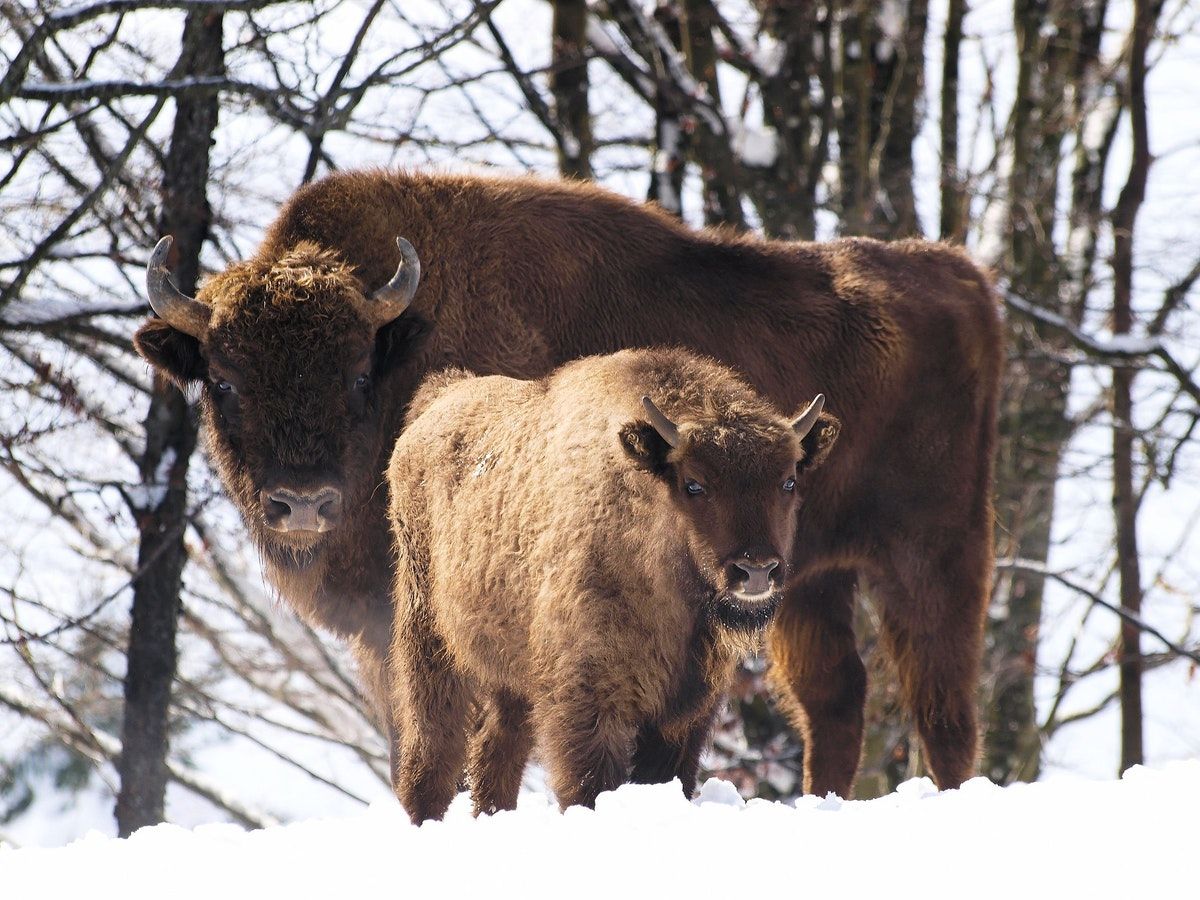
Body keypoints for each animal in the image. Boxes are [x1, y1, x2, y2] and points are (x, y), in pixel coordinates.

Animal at [135, 168, 1002, 799]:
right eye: (223, 381)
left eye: (355, 372)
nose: (302, 503)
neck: (406, 339)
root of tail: (961, 276)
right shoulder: (394, 634)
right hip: (804, 580)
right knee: (835, 697)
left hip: (933, 559)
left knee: (943, 707)